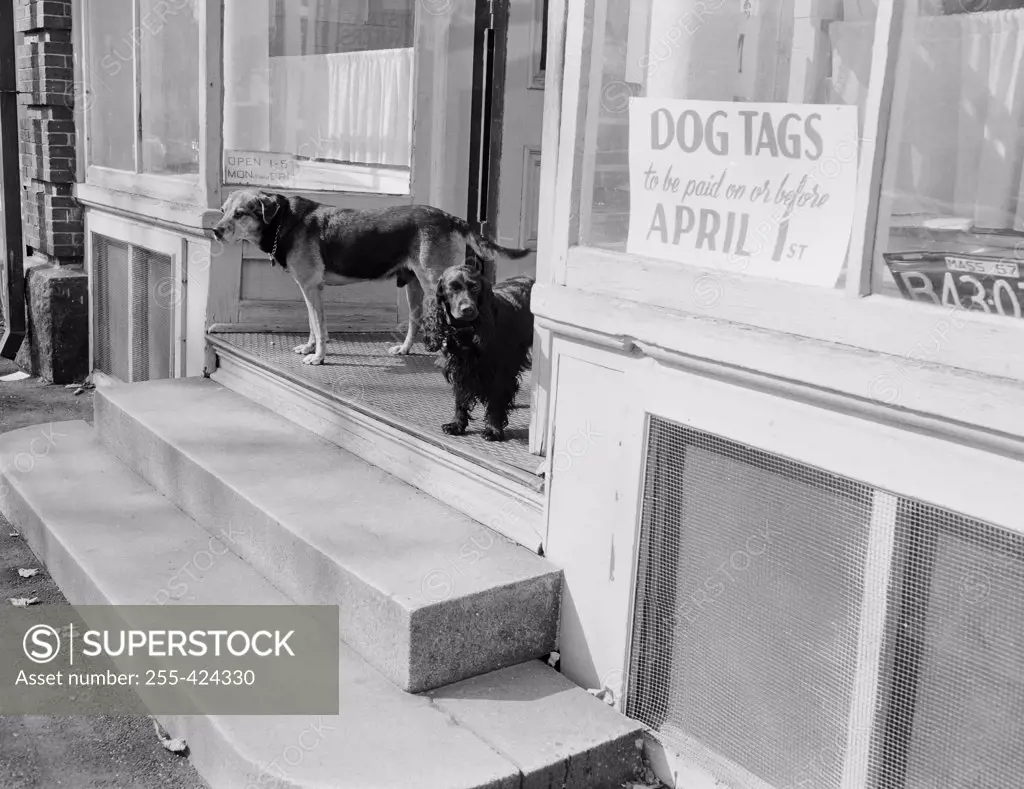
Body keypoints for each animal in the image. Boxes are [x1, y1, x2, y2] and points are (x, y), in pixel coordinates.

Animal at [211, 189, 532, 366]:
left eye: (240, 214)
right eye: (223, 211)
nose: (214, 230)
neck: (283, 221)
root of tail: (451, 218)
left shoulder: (312, 287)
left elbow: (321, 327)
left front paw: (319, 357)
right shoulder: (309, 289)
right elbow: (313, 325)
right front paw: (310, 347)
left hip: (437, 283)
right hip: (414, 285)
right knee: (415, 321)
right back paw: (404, 349)